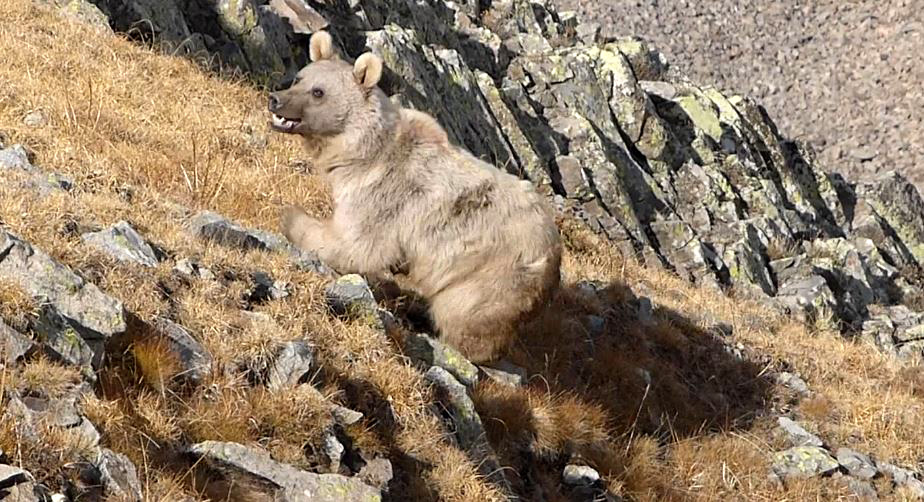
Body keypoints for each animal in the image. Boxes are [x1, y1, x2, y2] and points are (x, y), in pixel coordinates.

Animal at [264, 30, 560, 364]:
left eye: (318, 92)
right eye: (299, 78)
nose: (276, 98)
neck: (363, 152)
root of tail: (555, 254)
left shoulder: (385, 194)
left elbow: (356, 245)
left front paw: (291, 217)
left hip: (491, 273)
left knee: (465, 313)